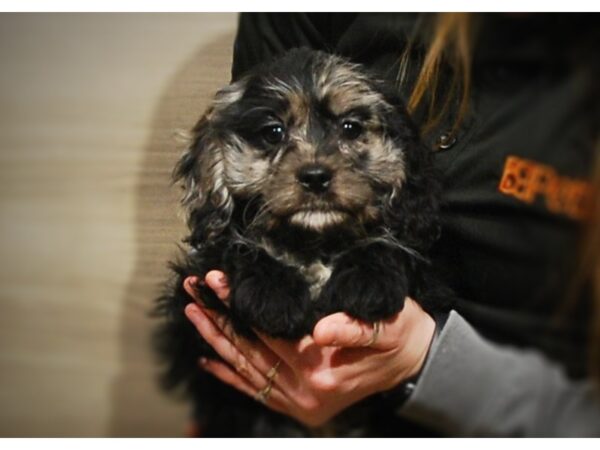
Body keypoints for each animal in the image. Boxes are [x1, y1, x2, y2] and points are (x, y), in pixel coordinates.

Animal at [155, 49, 446, 436]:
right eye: (273, 133)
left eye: (350, 128)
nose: (315, 176)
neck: (314, 242)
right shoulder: (195, 296)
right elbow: (233, 247)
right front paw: (274, 295)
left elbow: (390, 245)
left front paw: (367, 282)